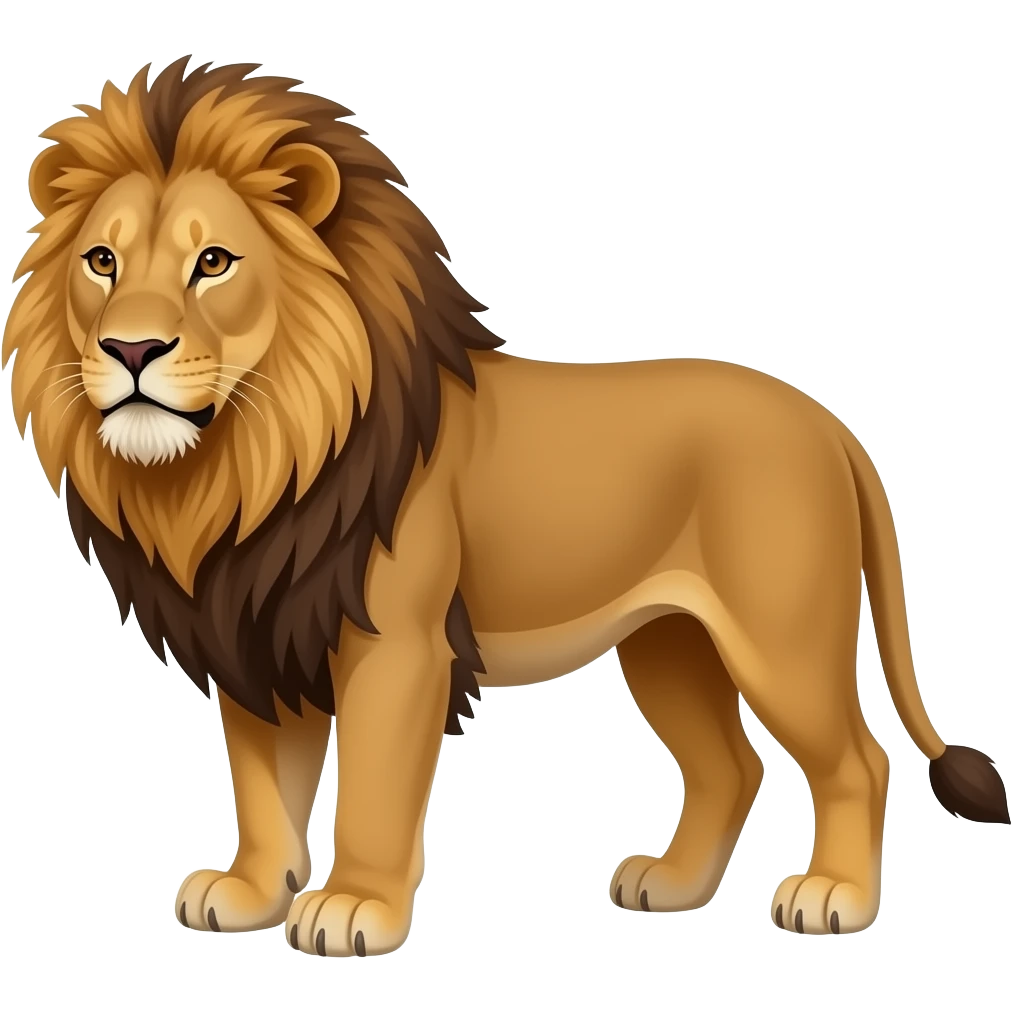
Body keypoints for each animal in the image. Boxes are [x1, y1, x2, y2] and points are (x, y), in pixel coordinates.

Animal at [4, 58, 1007, 957]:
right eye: (102, 261)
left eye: (213, 262)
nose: (131, 348)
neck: (246, 467)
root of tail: (830, 425)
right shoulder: (254, 626)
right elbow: (262, 785)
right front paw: (250, 893)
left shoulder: (397, 646)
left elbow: (372, 791)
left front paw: (353, 908)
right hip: (670, 642)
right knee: (734, 765)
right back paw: (672, 886)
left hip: (782, 637)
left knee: (858, 760)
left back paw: (833, 898)